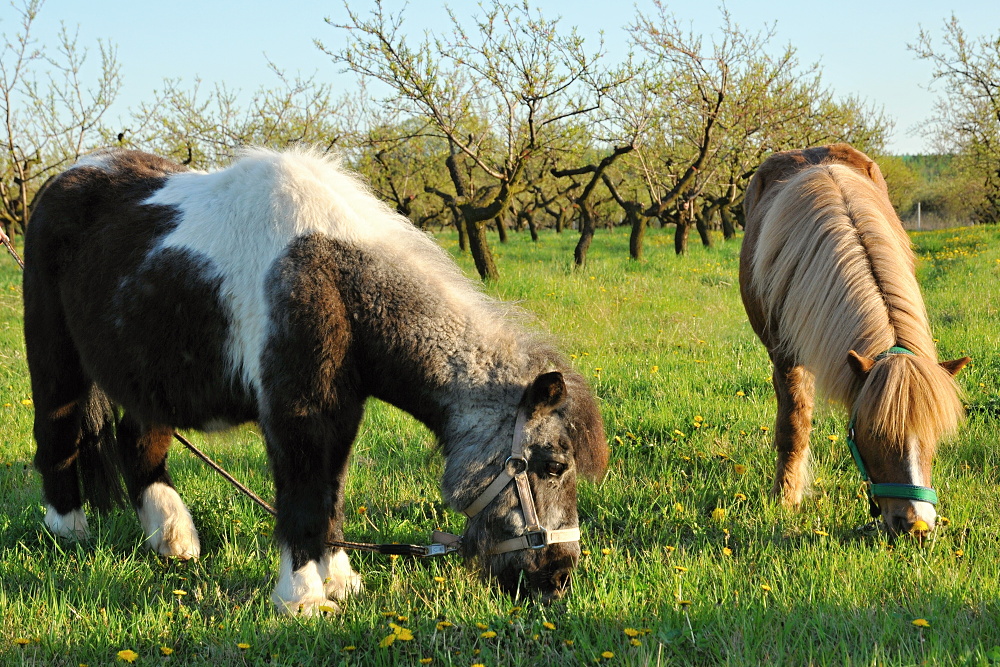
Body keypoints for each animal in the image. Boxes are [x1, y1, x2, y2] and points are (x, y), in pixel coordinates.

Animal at [21, 147, 608, 616]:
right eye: (554, 466)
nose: (558, 579)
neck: (333, 278)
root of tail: (64, 179)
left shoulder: (341, 414)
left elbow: (332, 492)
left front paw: (342, 580)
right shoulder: (295, 417)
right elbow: (303, 498)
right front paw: (303, 598)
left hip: (152, 378)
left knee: (138, 444)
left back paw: (174, 540)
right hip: (56, 360)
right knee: (56, 432)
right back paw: (68, 531)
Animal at [740, 144, 964, 536]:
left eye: (934, 434)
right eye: (872, 433)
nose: (916, 525)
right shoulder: (786, 358)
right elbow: (793, 426)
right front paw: (786, 499)